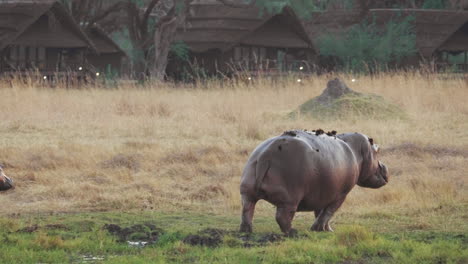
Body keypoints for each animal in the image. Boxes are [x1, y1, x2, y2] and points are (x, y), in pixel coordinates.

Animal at [239, 129, 390, 234]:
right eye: (378, 150)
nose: (385, 167)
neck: (358, 150)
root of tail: (265, 156)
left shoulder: (323, 192)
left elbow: (319, 212)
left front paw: (326, 229)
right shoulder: (340, 195)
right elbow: (328, 212)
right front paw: (318, 229)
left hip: (247, 192)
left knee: (247, 211)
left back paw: (246, 231)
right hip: (289, 200)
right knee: (282, 217)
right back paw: (292, 232)